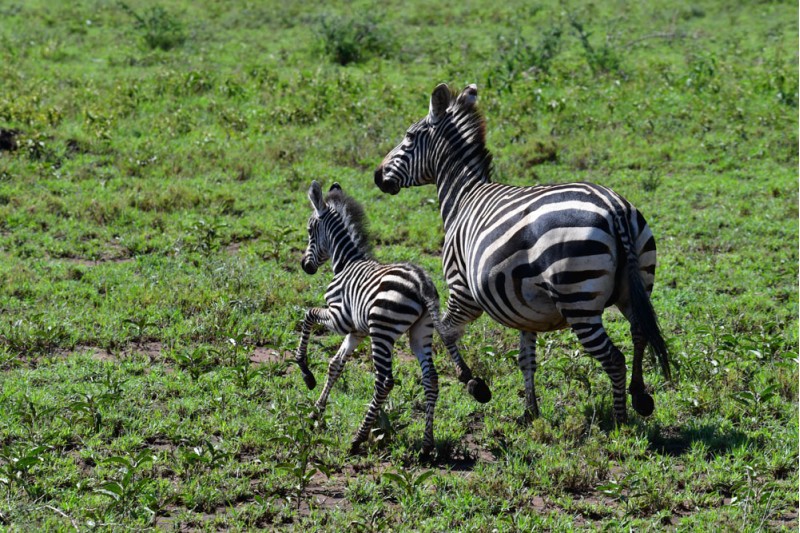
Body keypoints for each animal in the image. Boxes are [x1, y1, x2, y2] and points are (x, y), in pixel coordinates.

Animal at [296, 180, 490, 454]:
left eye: (310, 230)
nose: (305, 266)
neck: (346, 263)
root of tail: (421, 282)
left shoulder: (339, 317)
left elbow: (308, 316)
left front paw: (306, 374)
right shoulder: (356, 331)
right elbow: (335, 364)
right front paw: (316, 412)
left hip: (382, 332)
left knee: (384, 381)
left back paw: (358, 438)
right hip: (421, 332)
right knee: (431, 379)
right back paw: (426, 446)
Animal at [374, 83, 668, 424]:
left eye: (408, 137)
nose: (377, 176)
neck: (463, 197)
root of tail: (614, 208)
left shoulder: (461, 289)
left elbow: (445, 332)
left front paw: (475, 384)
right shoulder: (526, 309)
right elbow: (526, 359)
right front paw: (531, 411)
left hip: (578, 300)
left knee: (614, 359)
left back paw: (620, 421)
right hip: (636, 285)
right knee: (639, 334)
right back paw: (640, 397)